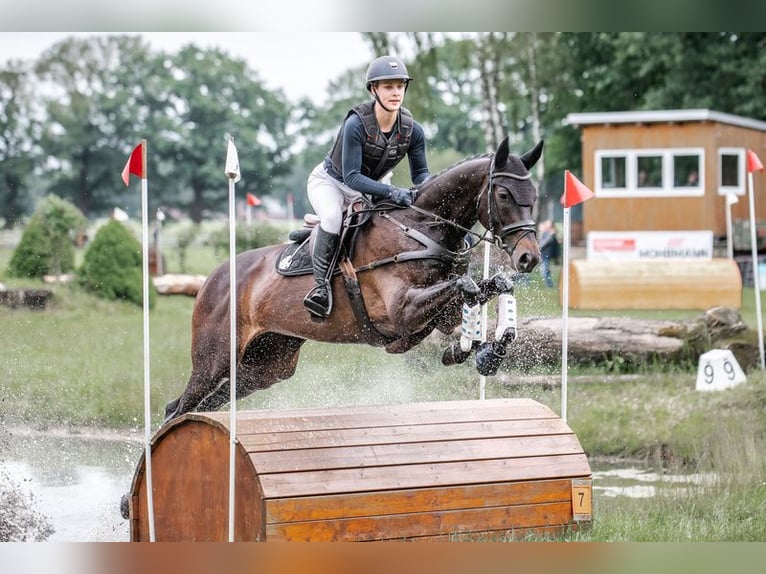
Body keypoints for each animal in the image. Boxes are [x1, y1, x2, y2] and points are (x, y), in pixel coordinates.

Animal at [163, 135, 544, 424]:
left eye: (535, 197)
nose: (530, 258)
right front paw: (471, 351)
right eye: (504, 195)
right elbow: (467, 288)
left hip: (267, 365)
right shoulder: (402, 313)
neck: (421, 229)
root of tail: (212, 279)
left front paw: (484, 352)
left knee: (199, 403)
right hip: (215, 358)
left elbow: (491, 288)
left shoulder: (437, 319)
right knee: (181, 406)